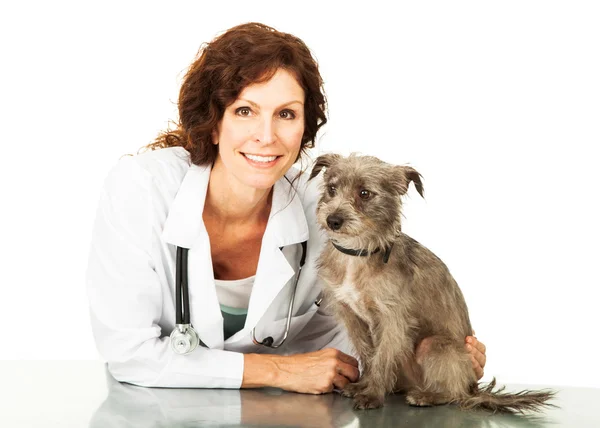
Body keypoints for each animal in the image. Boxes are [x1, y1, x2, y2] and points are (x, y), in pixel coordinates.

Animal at [310, 153, 556, 412]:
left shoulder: (393, 321)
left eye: (364, 193)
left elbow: (382, 359)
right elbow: (368, 355)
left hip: (433, 345)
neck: (358, 252)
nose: (333, 220)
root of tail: (473, 388)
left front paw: (372, 394)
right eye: (332, 189)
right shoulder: (352, 317)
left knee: (455, 394)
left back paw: (427, 396)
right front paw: (363, 385)